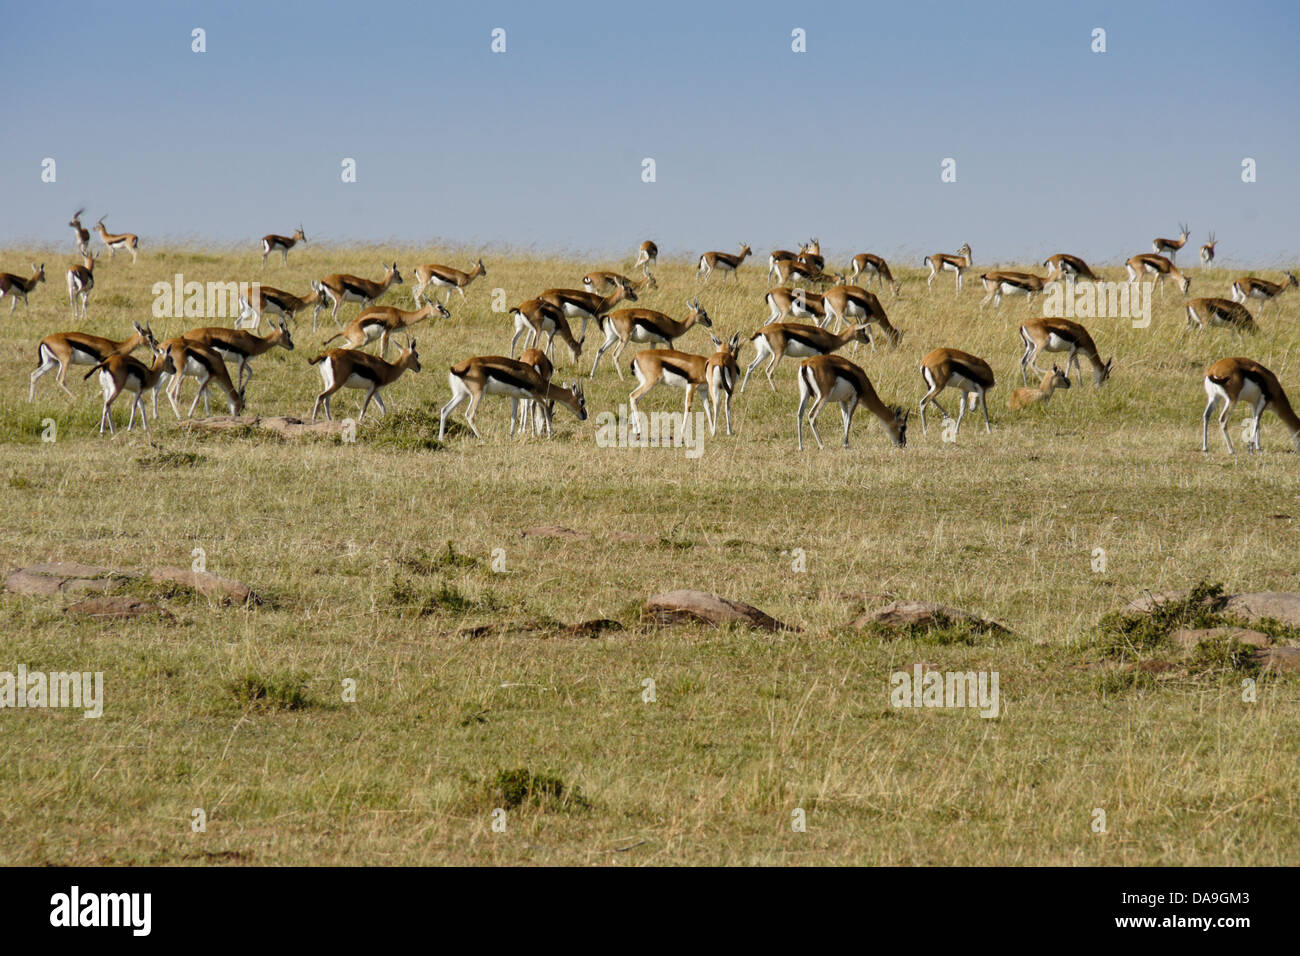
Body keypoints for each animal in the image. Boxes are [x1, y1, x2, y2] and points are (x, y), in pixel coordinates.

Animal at [438, 355, 587, 440]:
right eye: (582, 401)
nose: (584, 416)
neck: (535, 378)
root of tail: (458, 368)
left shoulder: (514, 397)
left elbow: (514, 416)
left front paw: (511, 437)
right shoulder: (535, 395)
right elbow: (544, 406)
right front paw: (551, 434)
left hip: (461, 395)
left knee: (445, 410)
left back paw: (440, 439)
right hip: (478, 394)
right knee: (469, 414)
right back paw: (483, 438)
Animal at [743, 322, 872, 392]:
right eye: (862, 330)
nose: (867, 340)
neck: (831, 338)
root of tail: (762, 331)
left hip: (764, 353)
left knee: (750, 366)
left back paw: (742, 390)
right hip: (778, 354)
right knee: (769, 370)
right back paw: (776, 391)